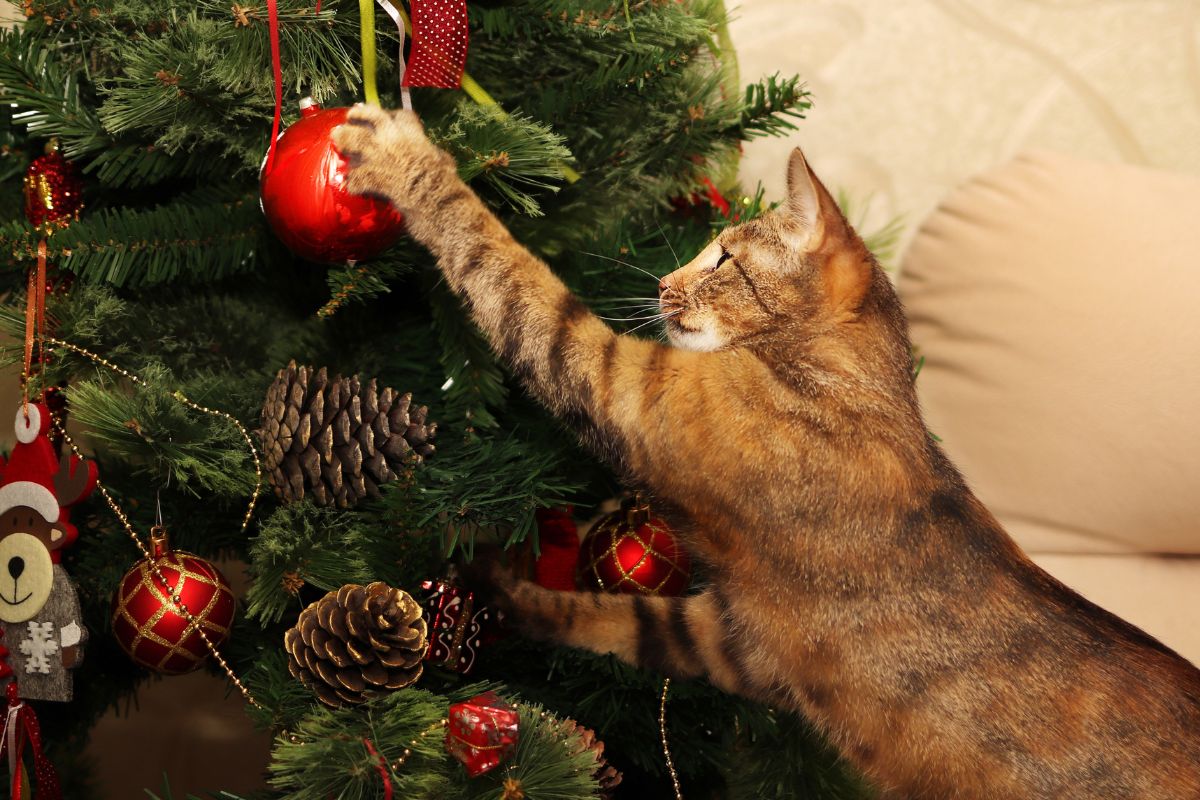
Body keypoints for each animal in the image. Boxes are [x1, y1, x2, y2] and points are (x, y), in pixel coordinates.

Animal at [333, 107, 1200, 800]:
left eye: (722, 259)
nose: (662, 281)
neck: (855, 385)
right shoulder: (733, 637)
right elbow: (610, 616)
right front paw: (496, 591)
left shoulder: (627, 386)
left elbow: (505, 269)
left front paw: (402, 156)